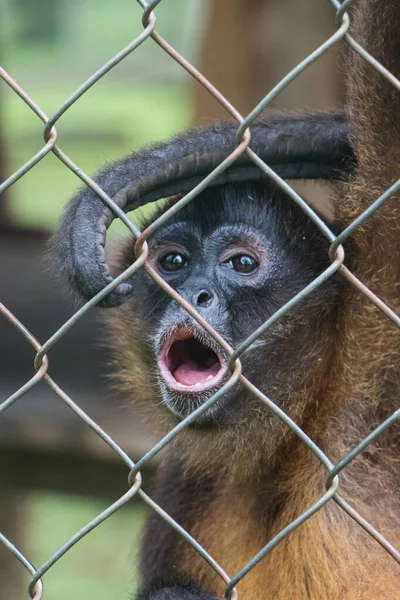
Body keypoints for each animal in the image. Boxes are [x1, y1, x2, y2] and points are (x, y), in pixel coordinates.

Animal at [50, 2, 400, 596]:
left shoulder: (374, 376)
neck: (282, 443)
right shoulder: (184, 480)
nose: (196, 292)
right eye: (173, 263)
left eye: (242, 265)